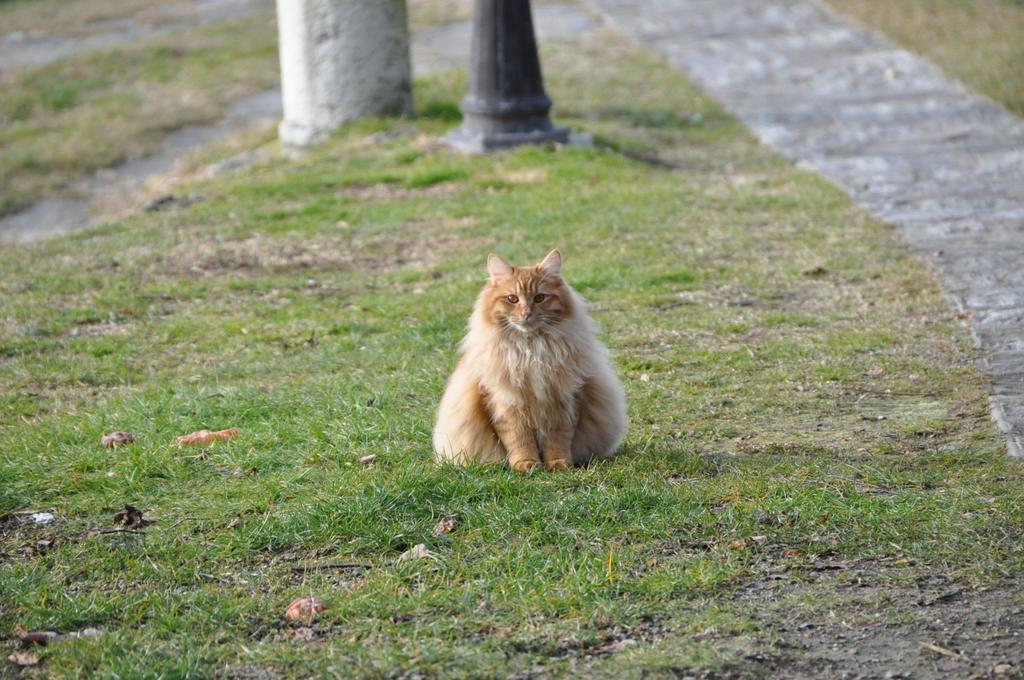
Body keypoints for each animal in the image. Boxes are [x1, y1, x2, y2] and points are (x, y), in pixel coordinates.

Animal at [432, 249, 622, 473]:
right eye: (512, 299)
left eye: (539, 298)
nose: (526, 314)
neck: (531, 351)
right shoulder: (505, 402)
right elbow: (519, 440)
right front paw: (526, 464)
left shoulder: (564, 398)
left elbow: (558, 439)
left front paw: (558, 463)